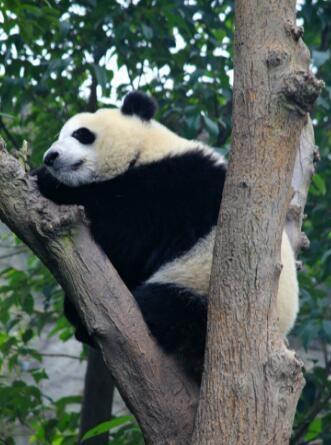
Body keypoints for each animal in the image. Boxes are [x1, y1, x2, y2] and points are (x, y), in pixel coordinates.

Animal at [35, 92, 300, 384]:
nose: (50, 157)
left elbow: (125, 225)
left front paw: (48, 182)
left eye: (82, 134)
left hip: (195, 289)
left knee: (167, 308)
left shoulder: (175, 186)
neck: (146, 148)